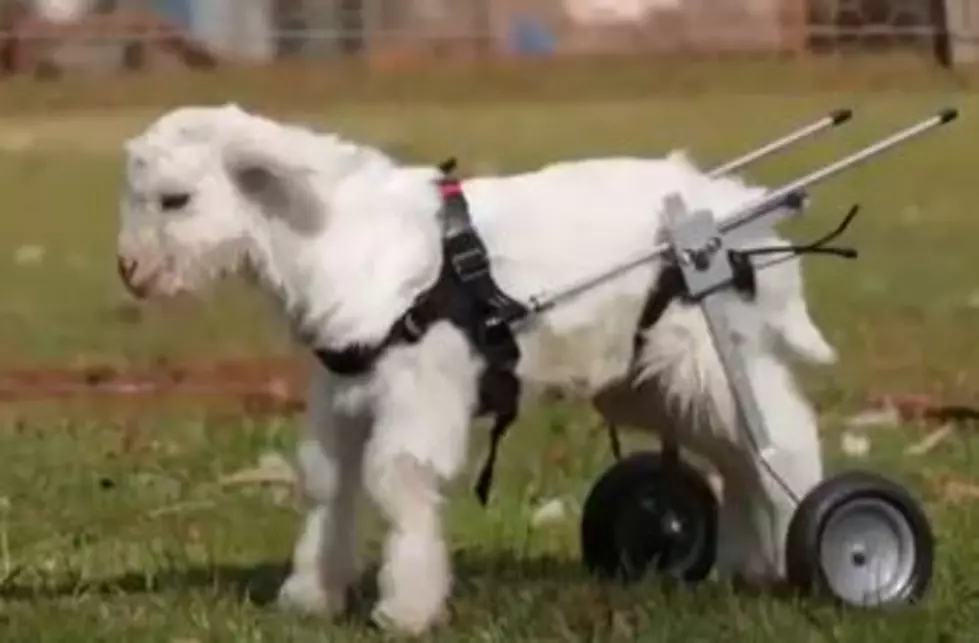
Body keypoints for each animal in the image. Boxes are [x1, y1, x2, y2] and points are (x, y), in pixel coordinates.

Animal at [115, 104, 836, 632]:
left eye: (176, 200)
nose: (130, 272)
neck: (339, 239)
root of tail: (744, 212)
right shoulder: (343, 390)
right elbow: (326, 482)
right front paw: (310, 595)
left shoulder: (420, 386)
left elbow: (399, 479)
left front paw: (404, 608)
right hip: (647, 375)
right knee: (740, 455)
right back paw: (750, 564)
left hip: (708, 353)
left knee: (784, 439)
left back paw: (814, 553)